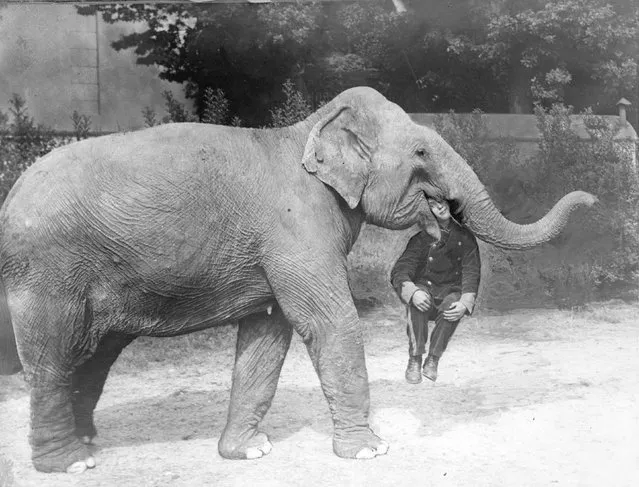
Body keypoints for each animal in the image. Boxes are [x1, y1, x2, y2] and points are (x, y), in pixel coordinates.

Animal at [0, 86, 596, 472]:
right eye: (422, 151)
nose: (592, 198)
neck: (305, 131)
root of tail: (11, 197)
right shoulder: (295, 228)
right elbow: (329, 322)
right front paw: (369, 451)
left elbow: (269, 333)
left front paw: (249, 452)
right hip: (47, 270)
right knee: (54, 355)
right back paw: (69, 463)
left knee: (95, 354)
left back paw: (86, 444)